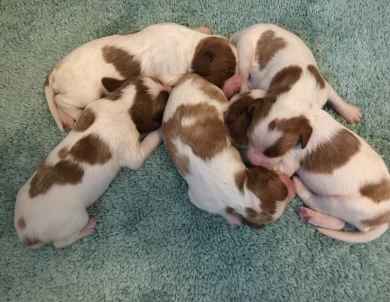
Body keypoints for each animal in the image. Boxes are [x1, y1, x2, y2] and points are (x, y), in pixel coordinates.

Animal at [14, 76, 169, 249]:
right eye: (164, 101)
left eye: (158, 80)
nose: (170, 87)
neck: (123, 104)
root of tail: (25, 233)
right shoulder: (132, 150)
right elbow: (147, 143)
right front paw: (161, 130)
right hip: (76, 218)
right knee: (61, 243)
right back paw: (87, 228)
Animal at [45, 23, 241, 132]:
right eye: (228, 71)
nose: (239, 87)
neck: (192, 47)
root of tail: (55, 70)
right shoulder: (171, 74)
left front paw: (205, 30)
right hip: (86, 91)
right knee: (61, 100)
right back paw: (74, 115)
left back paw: (66, 120)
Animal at [162, 73, 296, 229]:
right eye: (272, 178)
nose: (292, 188)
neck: (239, 194)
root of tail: (188, 76)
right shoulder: (200, 199)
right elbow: (220, 211)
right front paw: (232, 218)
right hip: (217, 96)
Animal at [230, 24, 362, 168]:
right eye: (249, 140)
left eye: (274, 153)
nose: (254, 162)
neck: (293, 98)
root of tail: (242, 31)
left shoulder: (323, 88)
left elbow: (336, 99)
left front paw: (350, 112)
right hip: (245, 53)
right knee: (243, 77)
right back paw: (245, 88)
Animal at [272, 109, 390, 244]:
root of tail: (385, 220)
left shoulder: (289, 161)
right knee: (339, 223)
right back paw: (309, 215)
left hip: (340, 203)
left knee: (316, 203)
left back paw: (299, 186)